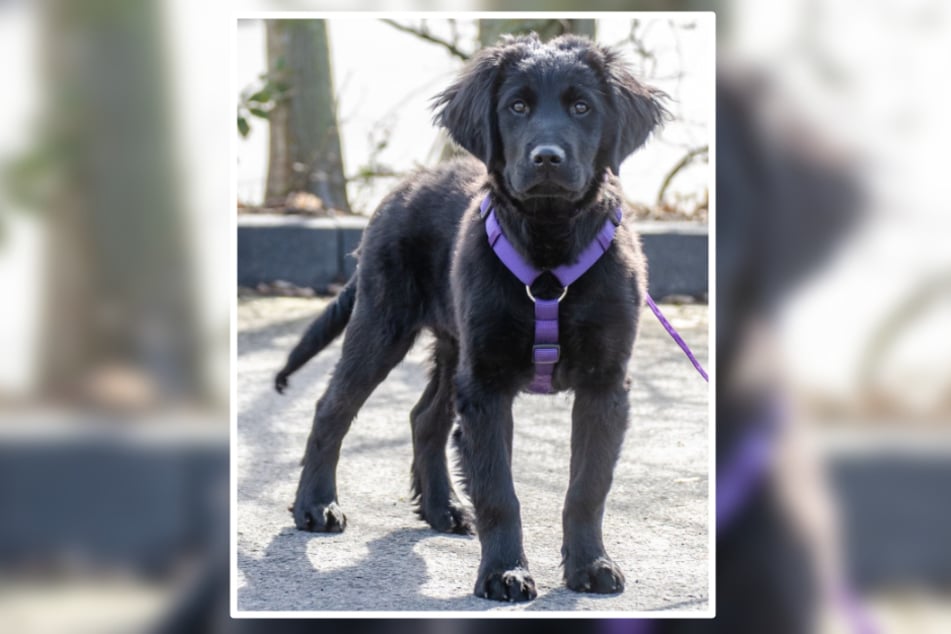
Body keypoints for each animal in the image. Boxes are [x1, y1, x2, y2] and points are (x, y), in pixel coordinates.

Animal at [272, 33, 664, 596]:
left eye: (582, 107)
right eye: (517, 107)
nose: (547, 158)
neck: (548, 247)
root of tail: (402, 188)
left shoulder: (604, 384)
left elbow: (587, 487)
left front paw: (590, 565)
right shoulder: (486, 384)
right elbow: (499, 490)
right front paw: (505, 572)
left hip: (452, 345)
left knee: (424, 418)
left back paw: (444, 510)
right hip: (383, 321)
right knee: (333, 407)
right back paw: (316, 505)